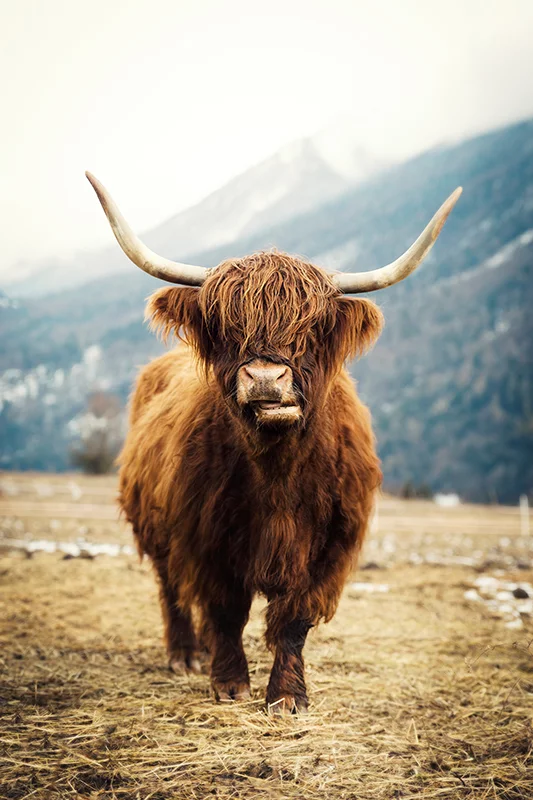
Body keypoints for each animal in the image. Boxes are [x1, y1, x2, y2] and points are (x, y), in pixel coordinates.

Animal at [86, 172, 461, 714]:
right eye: (226, 327)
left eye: (312, 328)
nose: (265, 378)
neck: (278, 473)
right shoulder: (206, 537)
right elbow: (224, 610)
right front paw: (229, 684)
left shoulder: (328, 549)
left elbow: (293, 621)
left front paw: (287, 696)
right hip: (156, 526)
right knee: (171, 587)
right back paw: (185, 654)